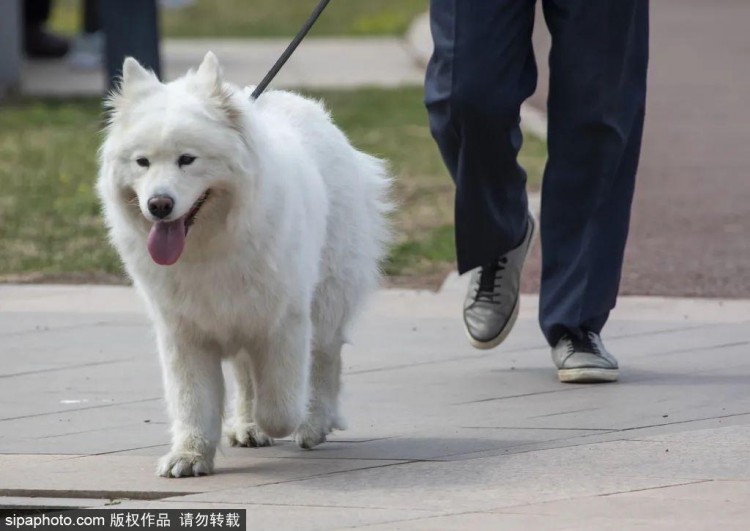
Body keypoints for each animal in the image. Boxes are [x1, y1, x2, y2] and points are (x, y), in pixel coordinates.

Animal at [98, 53, 394, 478]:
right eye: (142, 162)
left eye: (187, 160)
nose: (158, 204)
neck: (209, 248)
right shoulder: (185, 333)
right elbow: (193, 403)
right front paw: (189, 456)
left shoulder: (283, 323)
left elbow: (281, 405)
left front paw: (282, 421)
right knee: (246, 371)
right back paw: (248, 426)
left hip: (325, 301)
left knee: (325, 360)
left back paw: (314, 423)